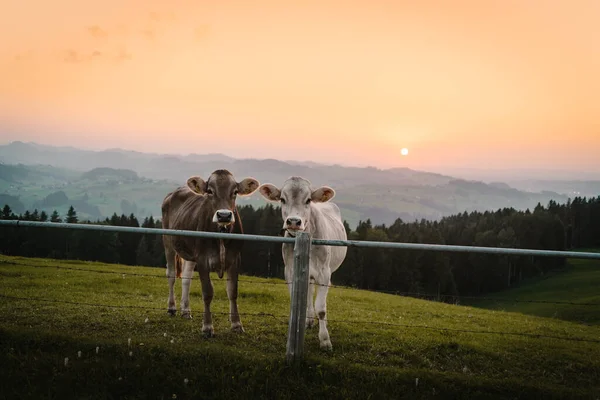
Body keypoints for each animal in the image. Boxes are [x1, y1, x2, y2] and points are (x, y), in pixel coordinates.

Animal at [162, 170, 258, 338]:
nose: (224, 215)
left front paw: (237, 324)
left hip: (190, 253)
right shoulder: (202, 259)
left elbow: (232, 291)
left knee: (186, 278)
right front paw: (207, 327)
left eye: (235, 192)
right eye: (210, 191)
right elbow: (207, 292)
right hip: (168, 242)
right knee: (172, 275)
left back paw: (185, 310)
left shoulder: (235, 259)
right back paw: (172, 307)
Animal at [258, 177, 346, 348]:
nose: (293, 221)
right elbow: (297, 301)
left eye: (308, 200)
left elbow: (321, 308)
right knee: (309, 292)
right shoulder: (289, 272)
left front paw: (325, 340)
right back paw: (308, 320)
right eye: (282, 199)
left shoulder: (324, 273)